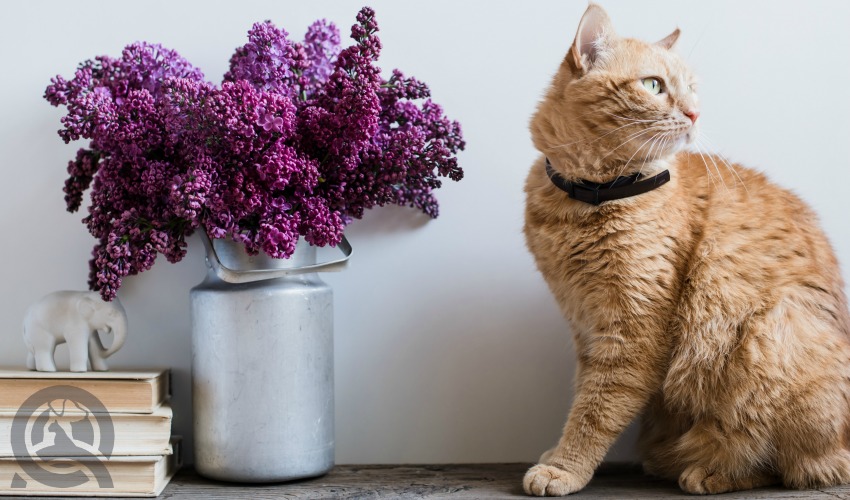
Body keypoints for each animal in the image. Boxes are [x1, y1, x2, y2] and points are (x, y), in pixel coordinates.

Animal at [520, 3, 848, 496]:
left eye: (692, 88)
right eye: (654, 85)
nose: (694, 113)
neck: (592, 196)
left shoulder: (633, 333)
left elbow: (595, 409)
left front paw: (565, 467)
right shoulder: (585, 325)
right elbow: (582, 393)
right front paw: (557, 454)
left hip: (770, 333)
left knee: (797, 463)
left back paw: (712, 470)